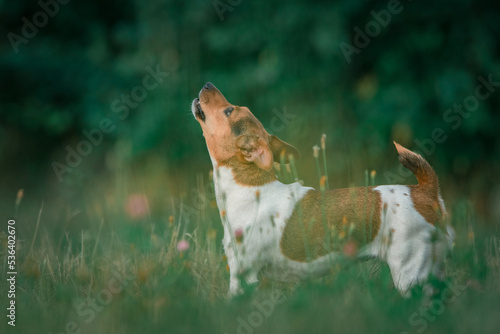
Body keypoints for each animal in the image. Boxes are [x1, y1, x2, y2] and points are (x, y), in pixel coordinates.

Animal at [190, 82, 454, 296]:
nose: (207, 84)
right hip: (434, 271)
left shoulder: (243, 277)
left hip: (410, 274)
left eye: (229, 111)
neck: (248, 187)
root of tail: (425, 191)